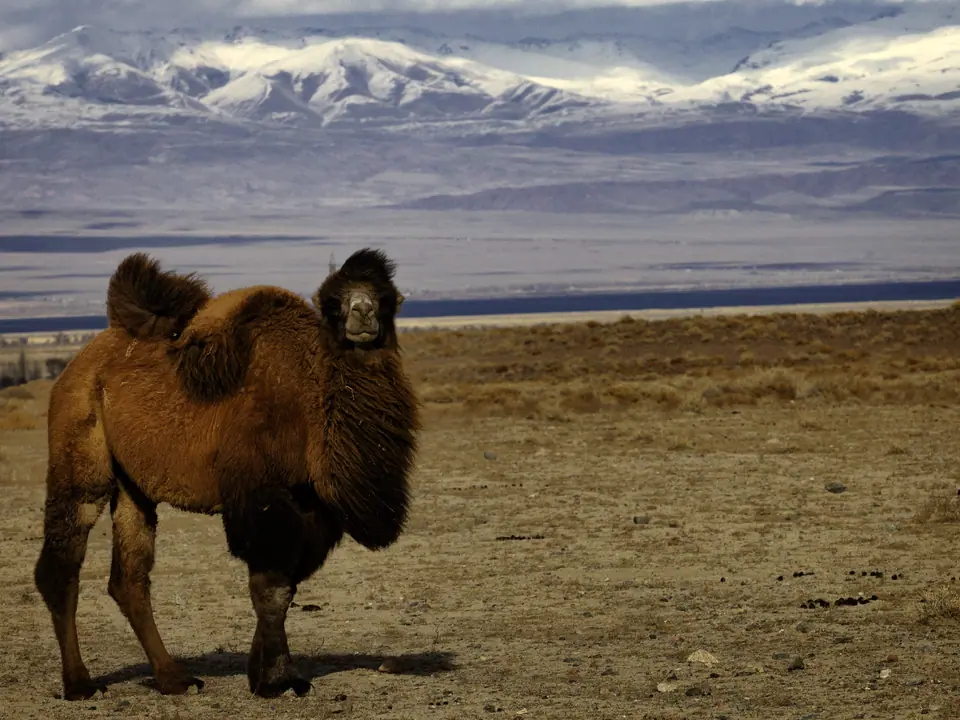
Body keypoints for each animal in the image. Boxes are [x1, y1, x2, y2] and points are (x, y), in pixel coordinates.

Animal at [33, 248, 420, 700]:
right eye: (333, 303)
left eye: (385, 298)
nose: (362, 312)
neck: (306, 401)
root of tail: (74, 367)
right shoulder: (259, 497)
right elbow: (272, 588)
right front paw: (278, 680)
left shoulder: (313, 509)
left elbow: (286, 584)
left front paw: (261, 671)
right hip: (80, 454)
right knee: (63, 562)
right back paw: (80, 684)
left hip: (134, 486)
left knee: (129, 576)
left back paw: (174, 678)